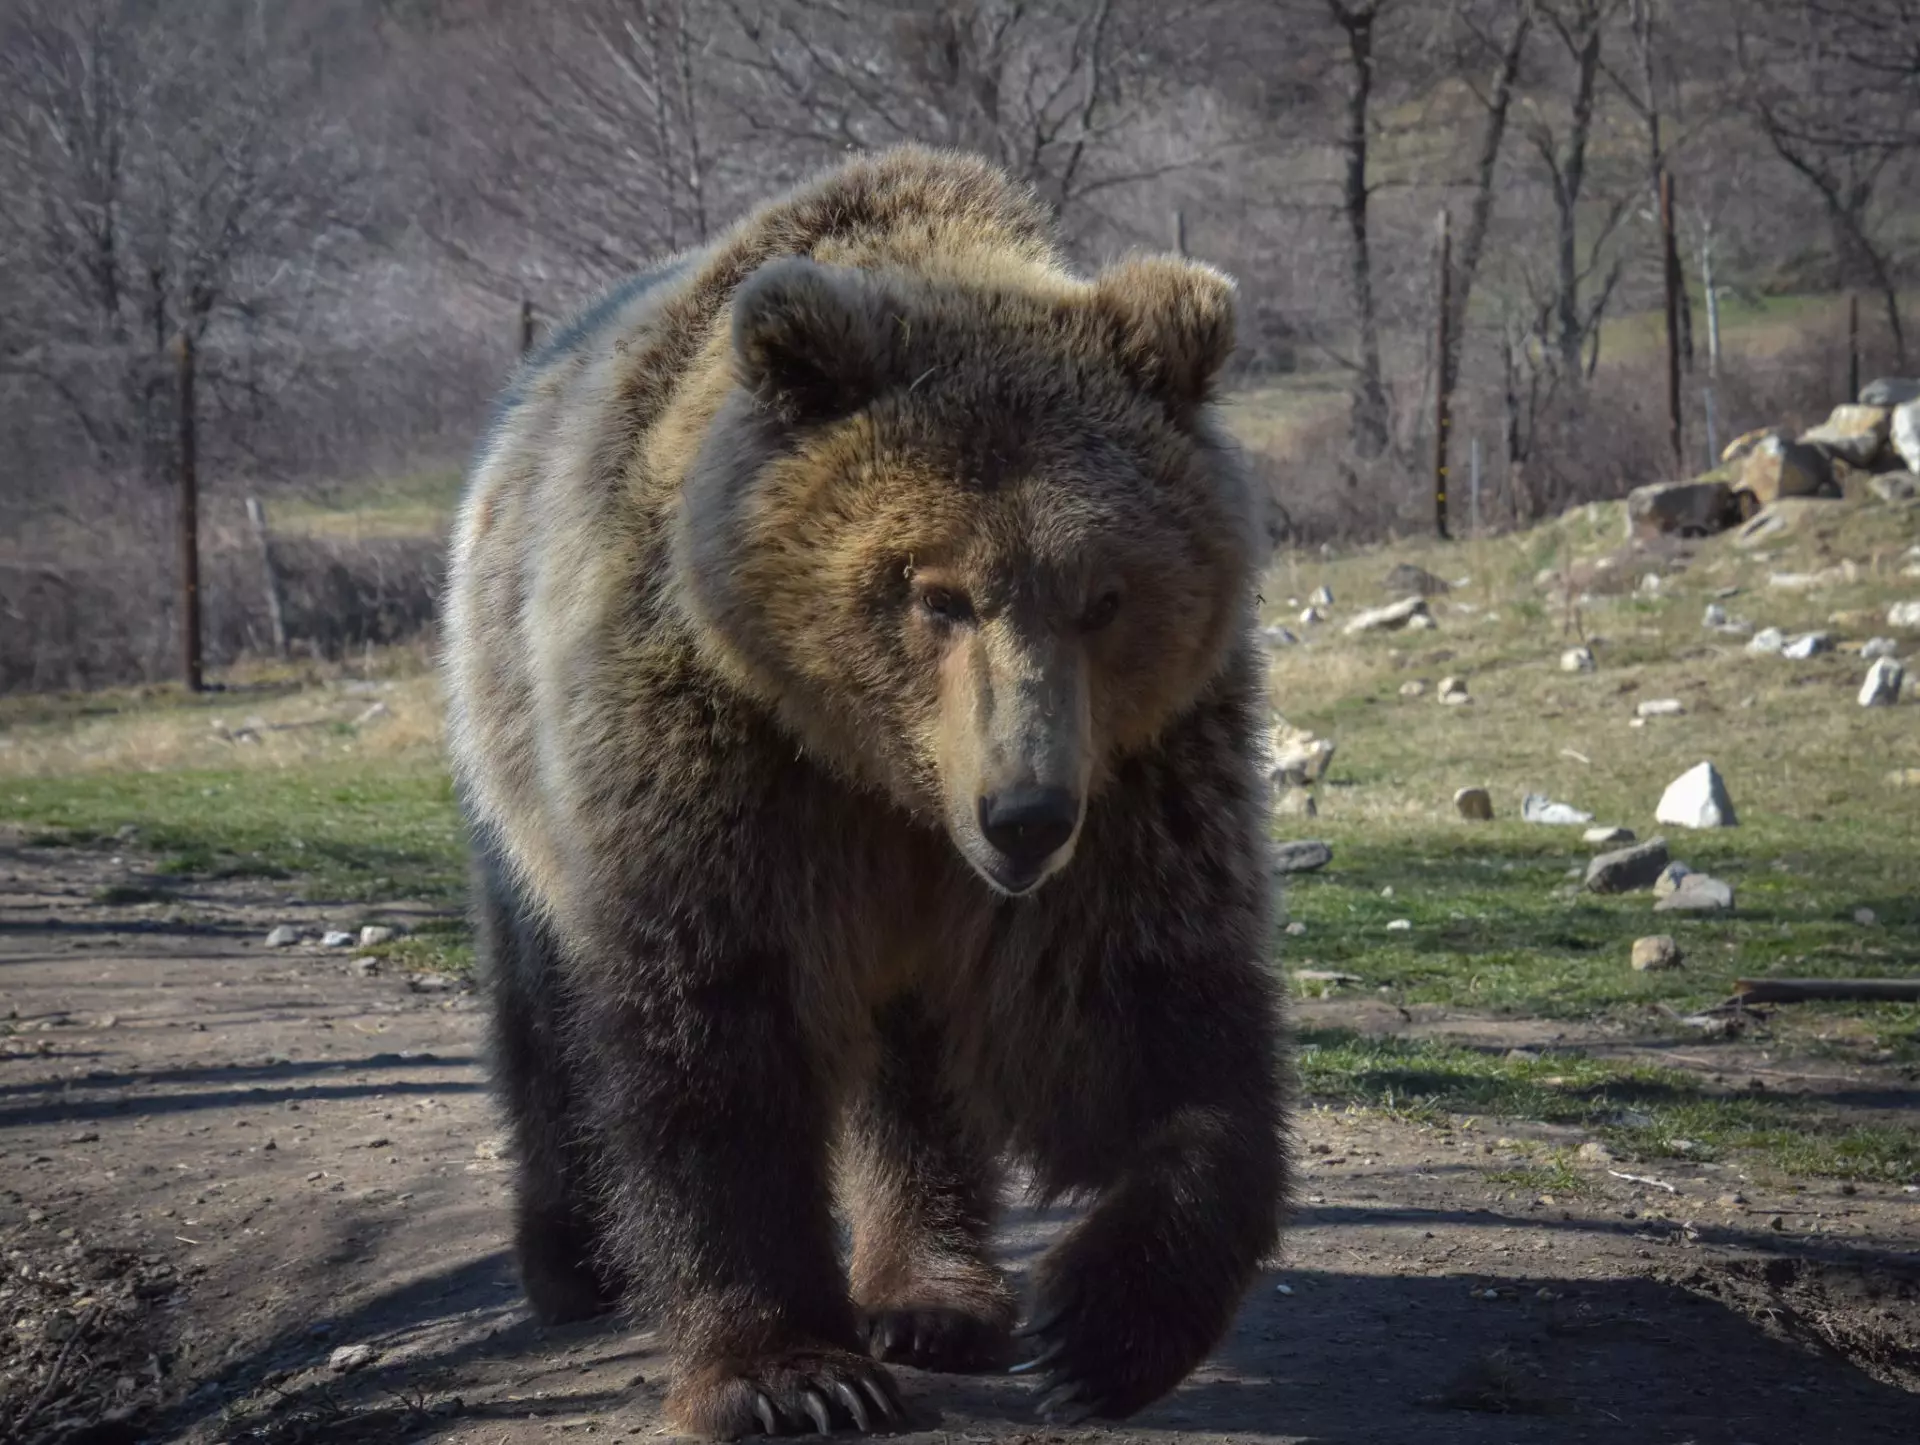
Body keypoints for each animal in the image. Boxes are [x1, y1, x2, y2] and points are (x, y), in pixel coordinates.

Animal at [440, 143, 1289, 1440]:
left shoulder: (1138, 774)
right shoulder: (719, 751)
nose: (1025, 815)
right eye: (936, 591)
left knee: (915, 1068)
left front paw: (1104, 1322)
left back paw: (935, 1292)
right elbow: (715, 1030)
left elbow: (1149, 1006)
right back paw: (572, 1262)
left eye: (1104, 595)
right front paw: (788, 1370)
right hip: (510, 746)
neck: (886, 771)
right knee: (544, 1011)